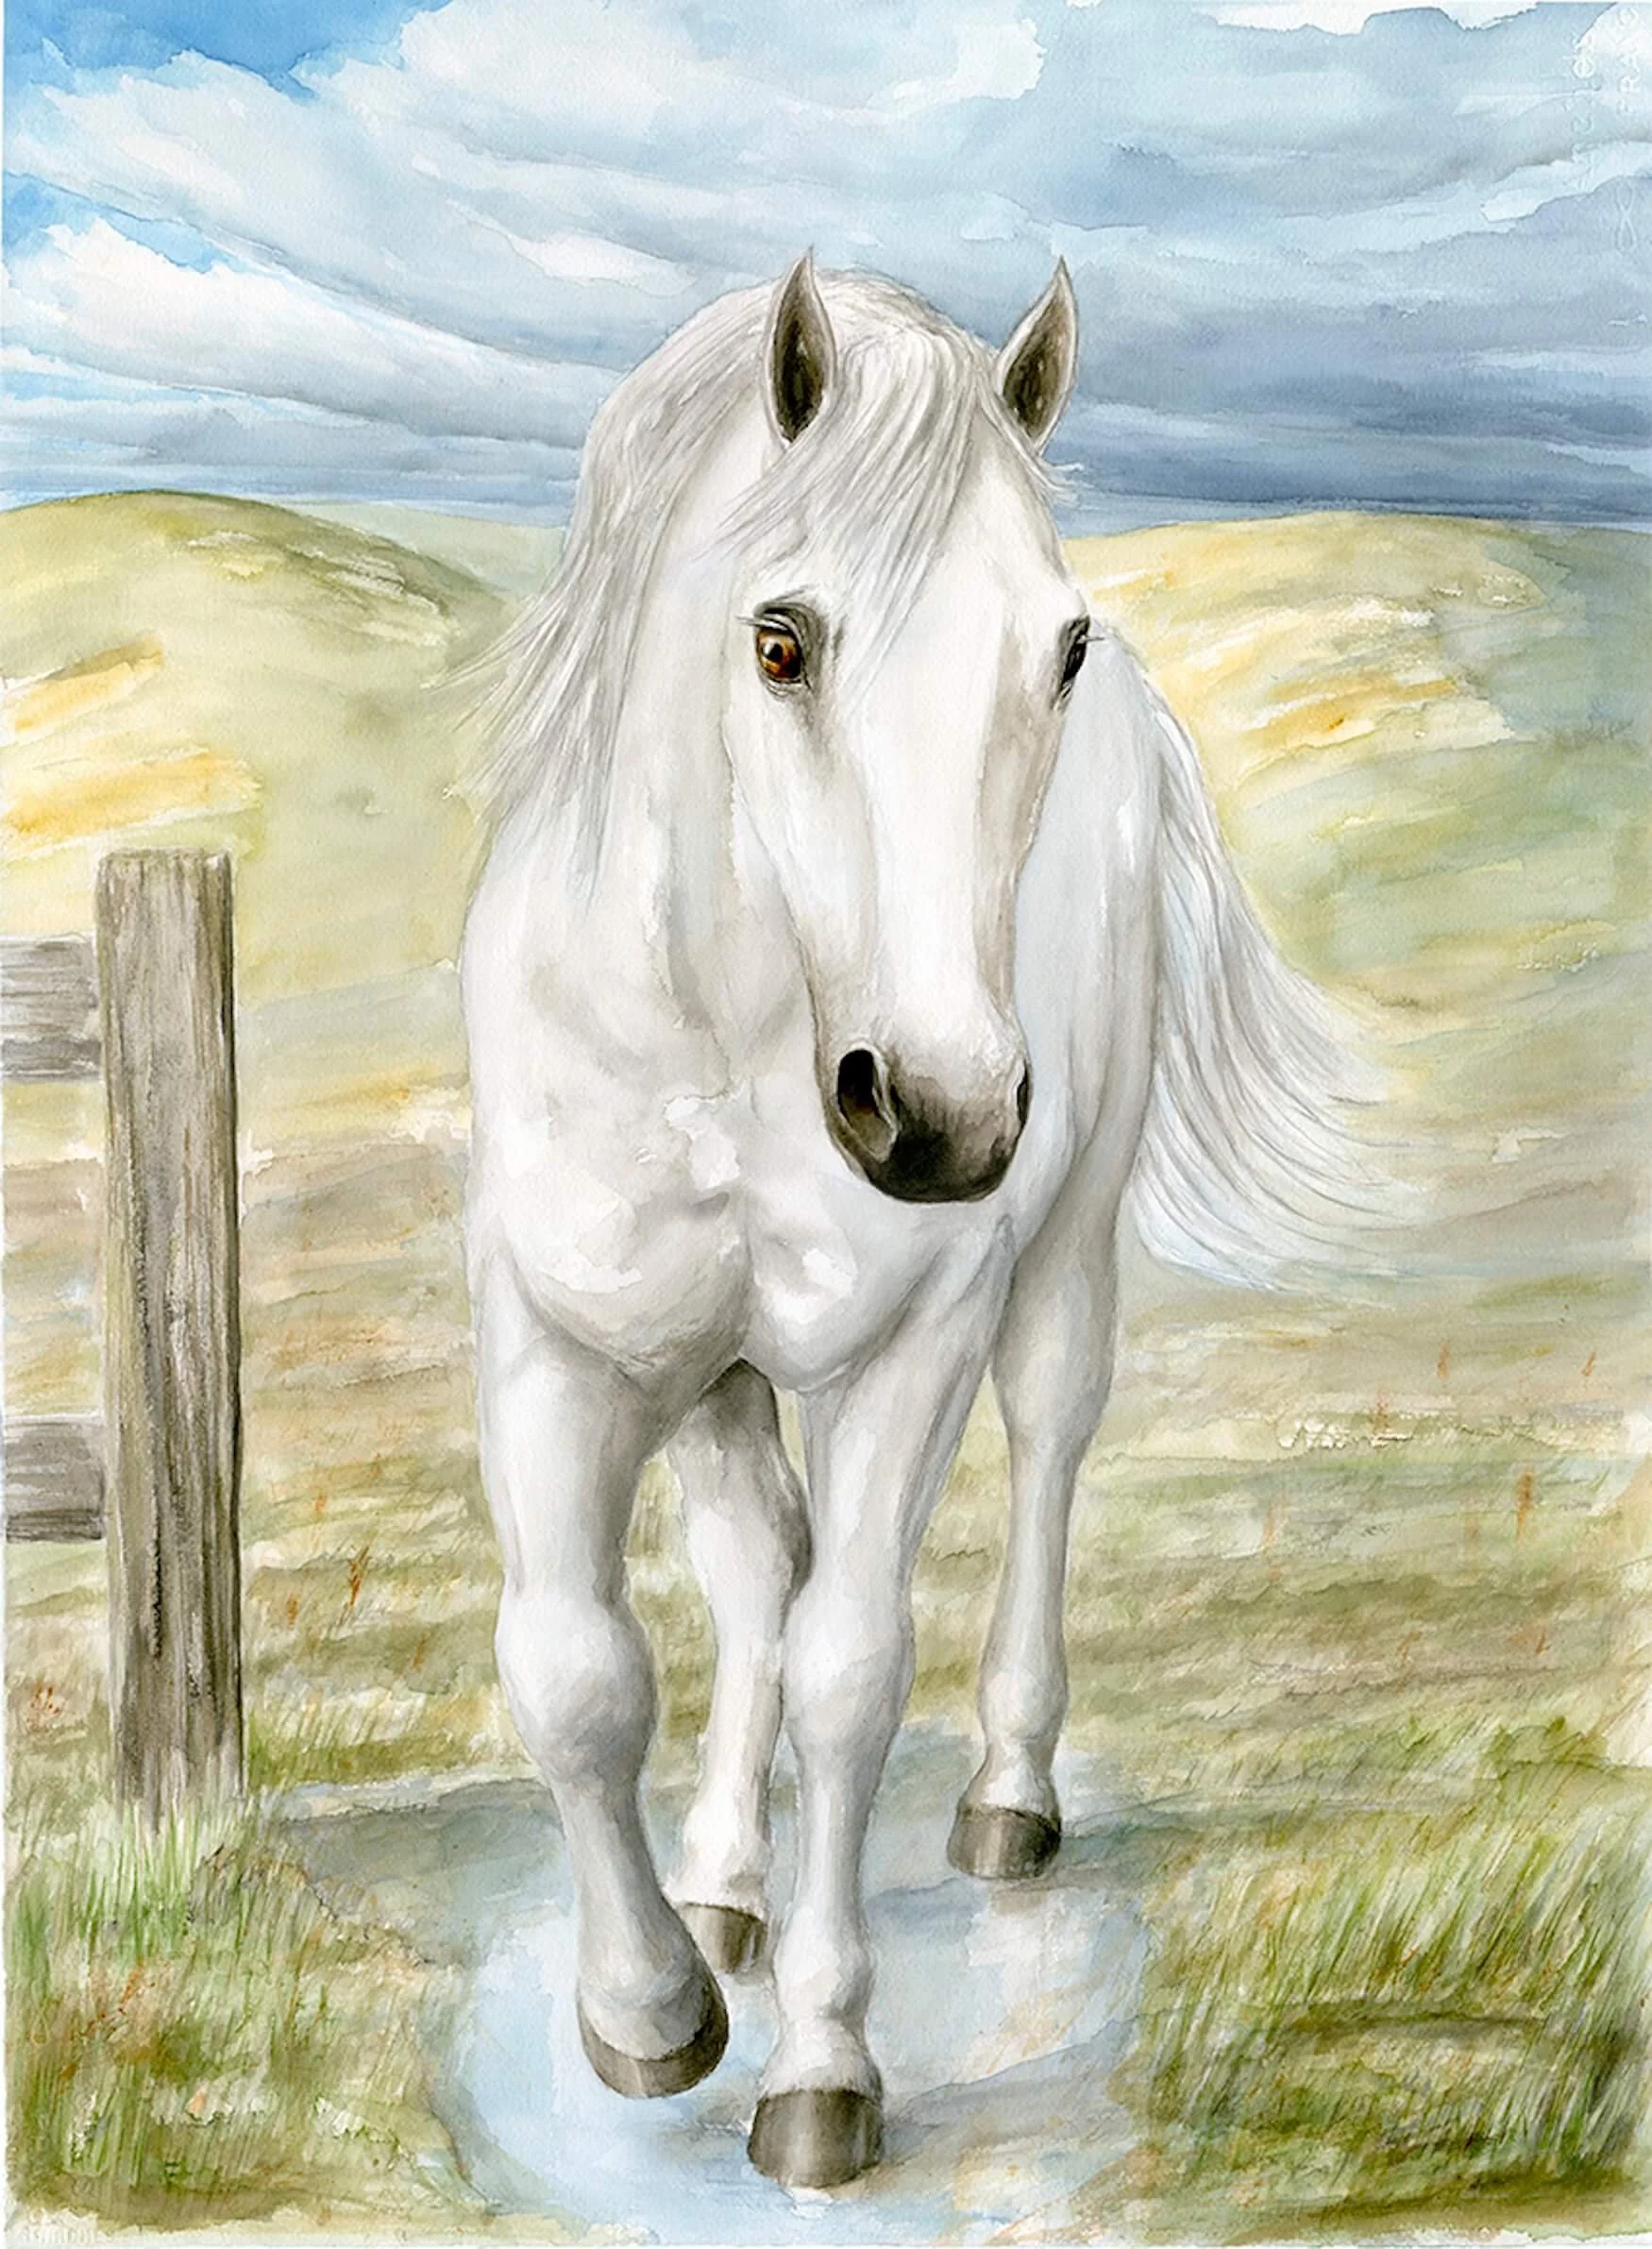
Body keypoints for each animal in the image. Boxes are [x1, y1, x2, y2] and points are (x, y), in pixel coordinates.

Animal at [461, 256, 1371, 2190]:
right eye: (778, 640)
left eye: (1061, 649)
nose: (942, 1108)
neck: (732, 1037)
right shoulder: (560, 1340)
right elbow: (577, 1672)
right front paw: (652, 2006)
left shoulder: (912, 1347)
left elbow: (848, 1673)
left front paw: (818, 2069)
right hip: (718, 1370)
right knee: (752, 1562)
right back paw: (720, 1886)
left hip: (1061, 1262)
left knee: (1045, 1454)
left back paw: (1009, 1794)